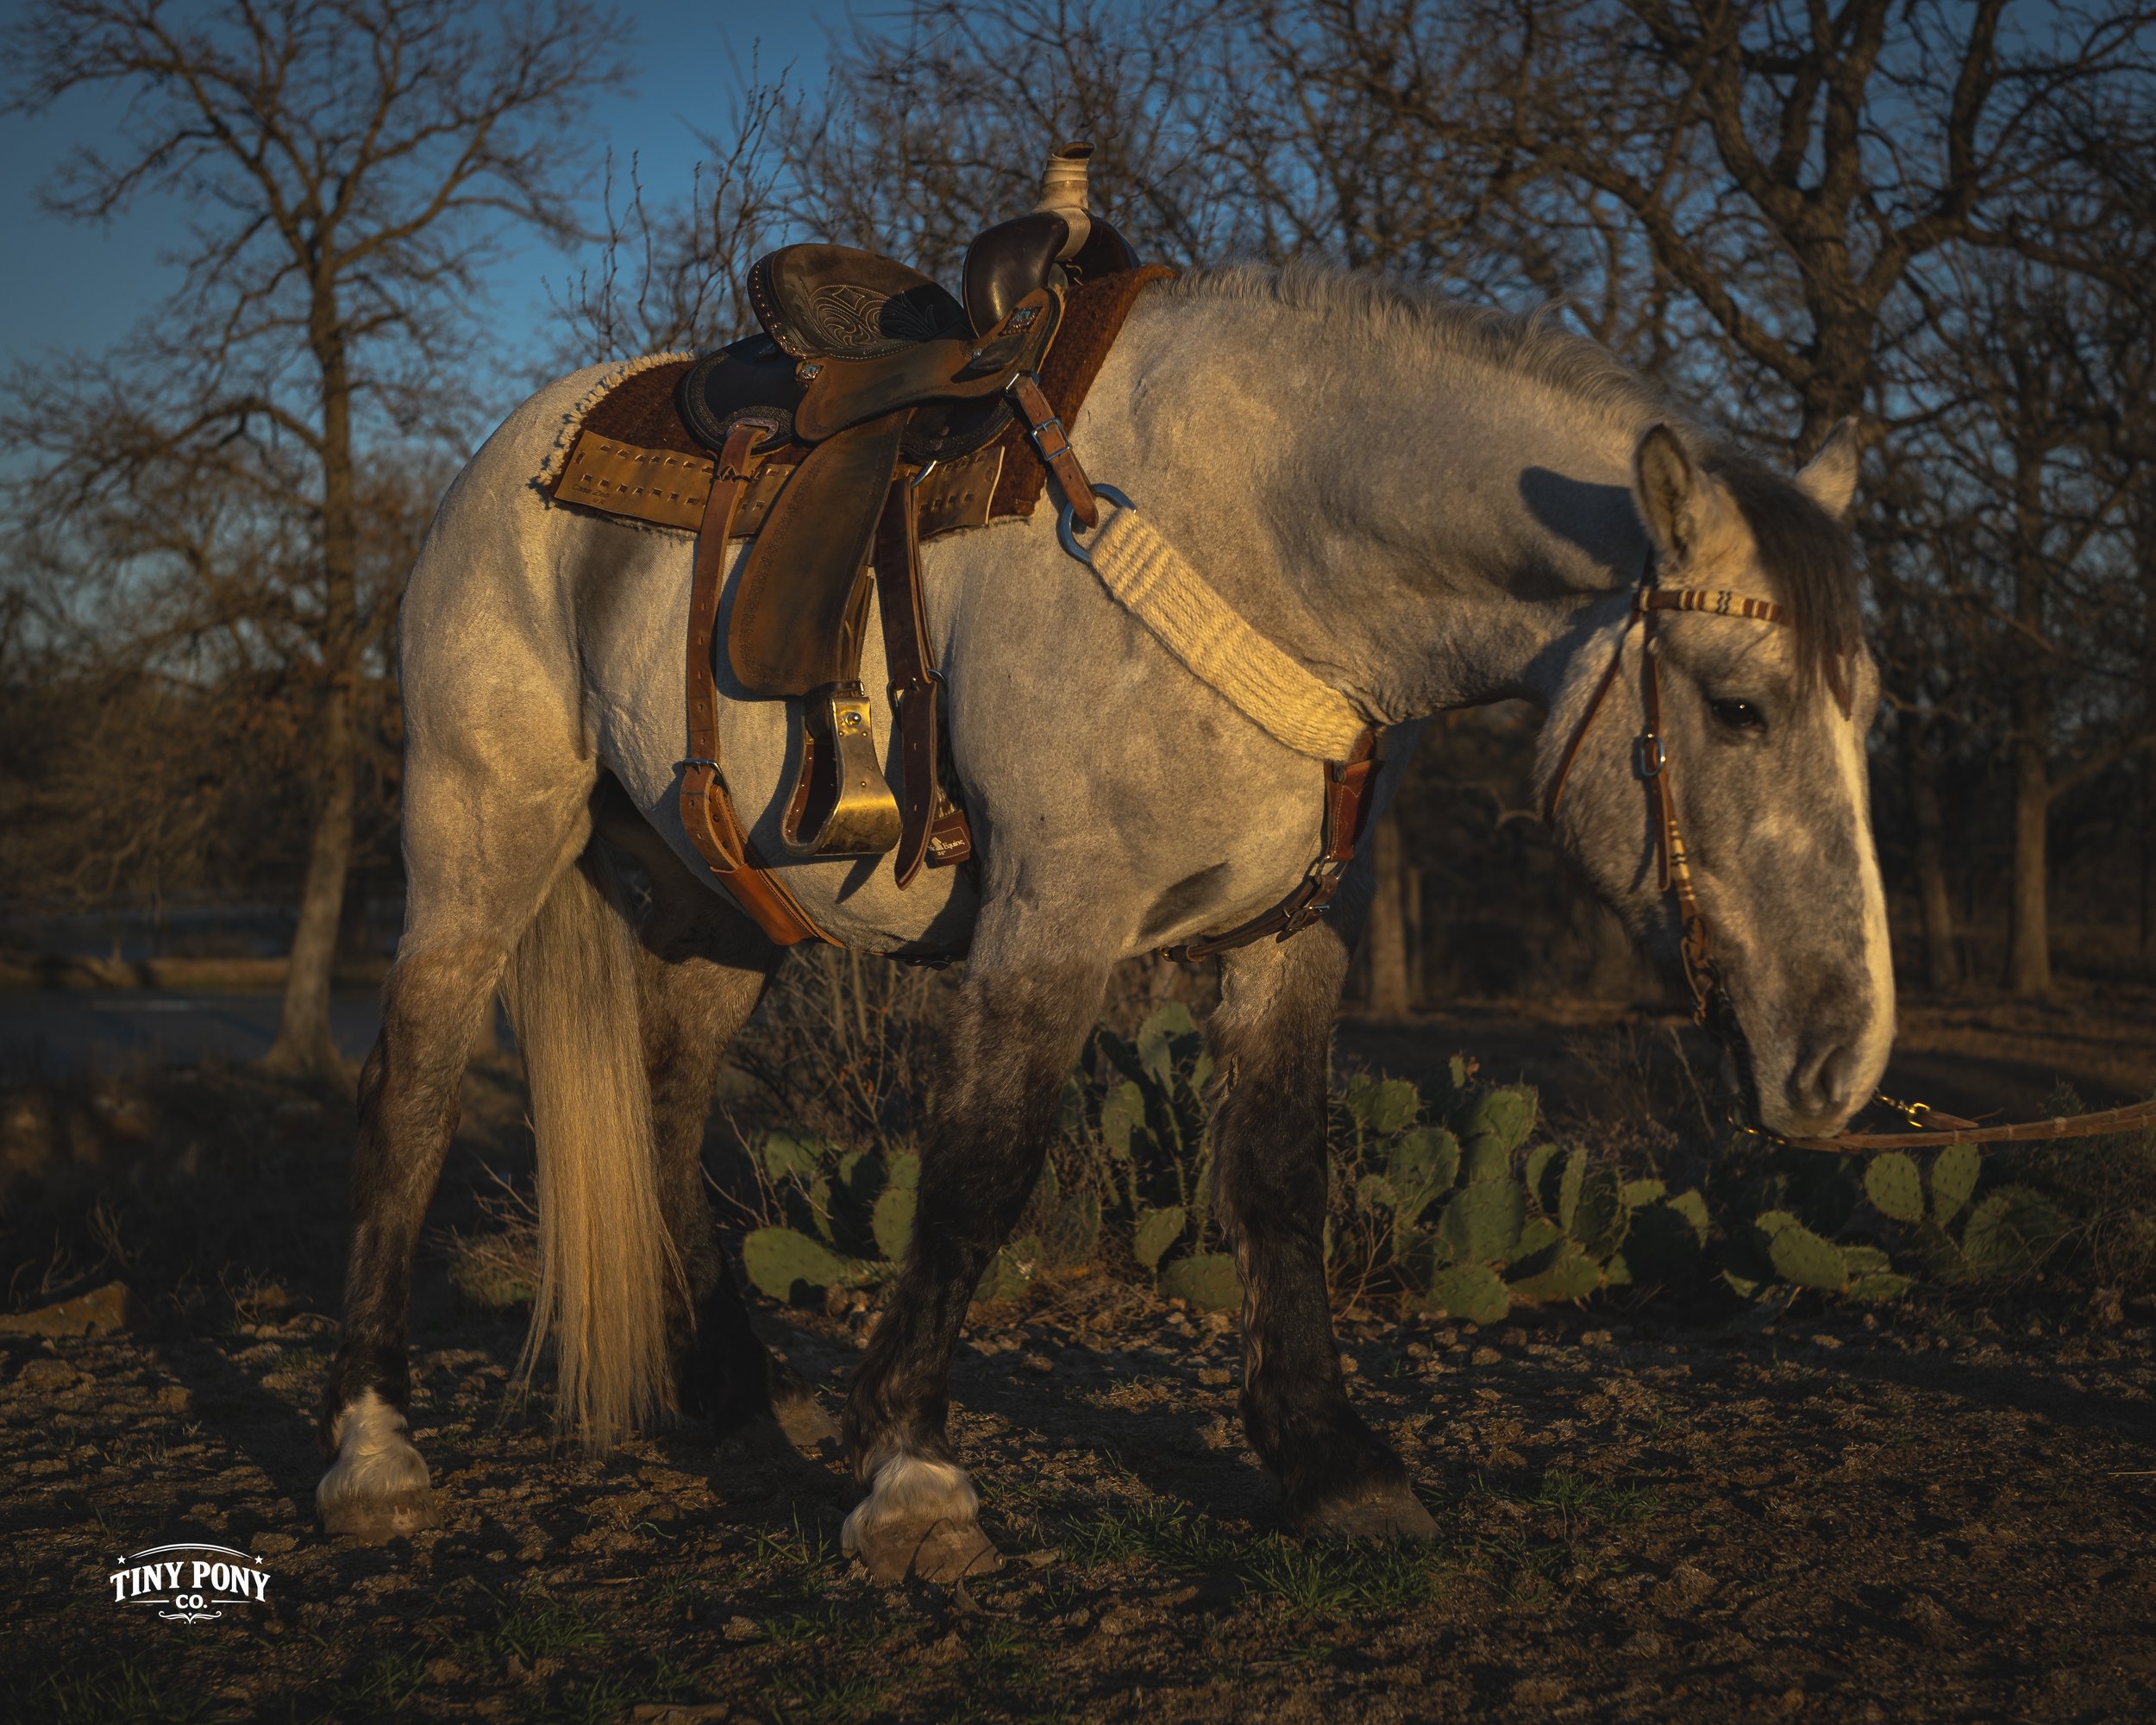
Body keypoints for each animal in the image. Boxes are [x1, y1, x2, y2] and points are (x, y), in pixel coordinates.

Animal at [315, 263, 1890, 1581]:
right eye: (1738, 709)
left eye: (1864, 707)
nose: (1841, 1064)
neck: (1266, 545)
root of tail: (511, 459)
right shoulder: (1051, 921)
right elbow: (978, 1174)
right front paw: (909, 1480)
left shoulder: (1287, 940)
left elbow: (1279, 1181)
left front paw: (1330, 1464)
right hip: (478, 842)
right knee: (408, 1100)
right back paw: (375, 1453)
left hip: (727, 903)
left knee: (663, 1094)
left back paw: (738, 1397)